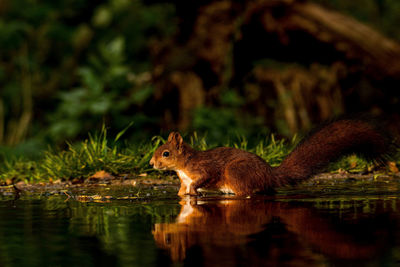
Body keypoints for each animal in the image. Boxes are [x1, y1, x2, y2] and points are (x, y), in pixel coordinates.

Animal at [148, 119, 390, 197]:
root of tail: (270, 175)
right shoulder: (184, 179)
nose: (151, 163)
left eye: (166, 153)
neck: (184, 166)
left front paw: (195, 191)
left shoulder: (205, 169)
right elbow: (182, 190)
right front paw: (184, 195)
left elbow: (205, 177)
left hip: (236, 173)